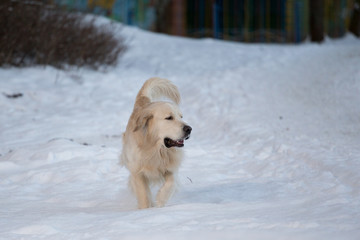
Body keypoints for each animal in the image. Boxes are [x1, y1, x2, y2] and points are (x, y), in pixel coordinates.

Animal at [120, 77, 191, 208]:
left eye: (181, 117)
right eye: (169, 118)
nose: (189, 129)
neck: (156, 149)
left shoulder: (171, 167)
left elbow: (171, 183)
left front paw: (160, 201)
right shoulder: (137, 172)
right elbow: (143, 193)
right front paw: (146, 208)